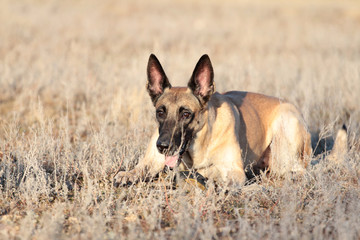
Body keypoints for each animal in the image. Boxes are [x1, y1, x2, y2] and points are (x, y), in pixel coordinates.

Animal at [114, 54, 312, 188]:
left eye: (186, 114)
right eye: (160, 112)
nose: (162, 146)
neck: (198, 147)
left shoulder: (234, 172)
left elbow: (210, 175)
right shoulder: (149, 163)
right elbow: (136, 171)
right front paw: (127, 175)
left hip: (284, 135)